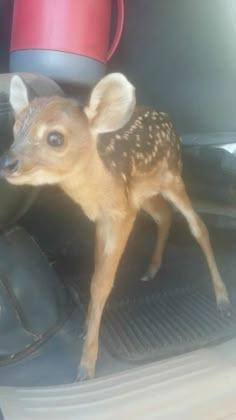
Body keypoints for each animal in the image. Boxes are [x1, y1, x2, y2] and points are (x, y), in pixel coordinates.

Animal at [0, 72, 229, 380]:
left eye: (55, 138)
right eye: (15, 130)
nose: (8, 163)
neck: (101, 187)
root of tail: (166, 116)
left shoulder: (122, 212)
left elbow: (102, 282)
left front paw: (86, 365)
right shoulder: (106, 215)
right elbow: (97, 272)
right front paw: (87, 330)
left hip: (173, 177)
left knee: (198, 226)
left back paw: (222, 299)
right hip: (146, 192)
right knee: (164, 215)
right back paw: (151, 269)